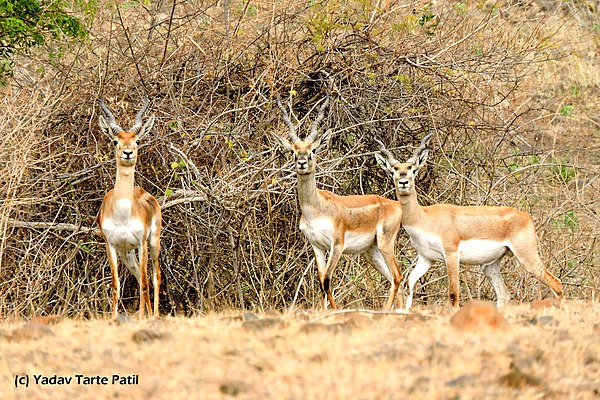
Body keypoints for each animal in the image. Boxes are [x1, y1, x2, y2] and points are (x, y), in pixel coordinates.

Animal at [97, 97, 162, 318]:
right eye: (115, 140)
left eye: (137, 140)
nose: (128, 152)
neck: (122, 215)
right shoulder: (111, 245)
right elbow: (116, 286)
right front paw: (113, 318)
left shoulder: (142, 243)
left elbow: (145, 283)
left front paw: (143, 318)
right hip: (127, 254)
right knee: (139, 277)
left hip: (153, 242)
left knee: (154, 277)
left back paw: (154, 315)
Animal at [276, 95, 404, 310]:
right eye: (293, 150)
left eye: (313, 149)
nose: (301, 162)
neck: (316, 209)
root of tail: (397, 205)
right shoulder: (317, 246)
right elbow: (320, 281)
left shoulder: (337, 245)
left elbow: (327, 280)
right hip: (372, 252)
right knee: (395, 277)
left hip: (386, 245)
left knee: (397, 276)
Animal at [376, 134, 564, 310]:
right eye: (393, 171)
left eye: (413, 170)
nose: (403, 182)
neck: (425, 217)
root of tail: (526, 217)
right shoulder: (426, 257)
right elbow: (410, 282)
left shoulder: (451, 255)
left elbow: (453, 294)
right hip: (491, 266)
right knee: (504, 295)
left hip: (527, 256)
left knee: (556, 283)